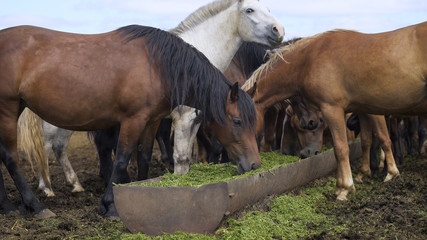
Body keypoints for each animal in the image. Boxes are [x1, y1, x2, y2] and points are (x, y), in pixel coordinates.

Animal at [0, 24, 260, 218]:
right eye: (237, 121)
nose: (255, 165)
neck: (158, 65)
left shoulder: (151, 121)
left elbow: (143, 157)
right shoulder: (133, 120)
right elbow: (122, 159)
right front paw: (110, 206)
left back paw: (8, 207)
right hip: (8, 110)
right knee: (10, 157)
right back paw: (36, 205)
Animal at [19, 0, 284, 195]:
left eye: (270, 9)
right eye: (250, 10)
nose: (279, 31)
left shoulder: (186, 119)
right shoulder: (182, 118)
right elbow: (180, 156)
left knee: (60, 148)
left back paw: (75, 185)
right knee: (47, 146)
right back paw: (47, 188)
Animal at [244, 21, 427, 201]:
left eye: (241, 121)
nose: (248, 165)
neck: (309, 60)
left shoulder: (333, 109)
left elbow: (342, 148)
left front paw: (346, 188)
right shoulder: (361, 110)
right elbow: (365, 141)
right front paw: (352, 179)